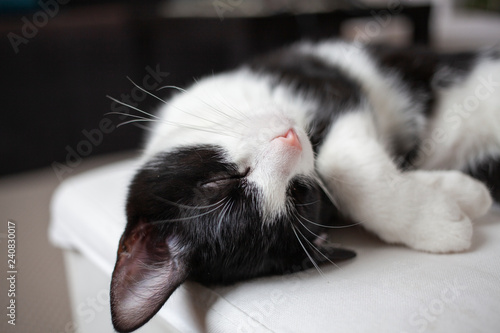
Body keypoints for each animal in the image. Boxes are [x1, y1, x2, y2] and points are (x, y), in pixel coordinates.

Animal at [109, 40, 500, 330]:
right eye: (298, 193)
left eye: (221, 181)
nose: (293, 139)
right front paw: (452, 206)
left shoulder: (319, 82)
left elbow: (341, 162)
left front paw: (448, 205)